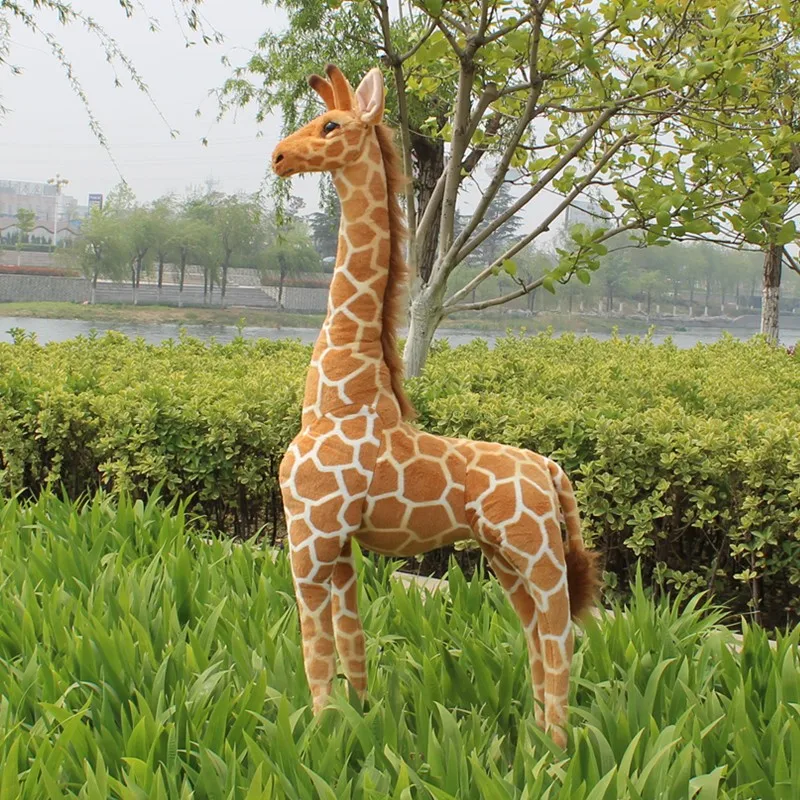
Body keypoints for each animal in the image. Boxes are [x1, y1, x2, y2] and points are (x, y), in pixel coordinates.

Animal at [272, 64, 600, 749]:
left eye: (330, 125)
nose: (279, 157)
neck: (337, 398)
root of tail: (553, 470)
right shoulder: (340, 543)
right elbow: (352, 642)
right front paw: (359, 721)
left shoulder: (310, 533)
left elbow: (315, 649)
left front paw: (316, 736)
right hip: (504, 556)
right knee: (535, 628)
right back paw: (534, 736)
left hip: (537, 550)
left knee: (560, 628)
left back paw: (556, 750)